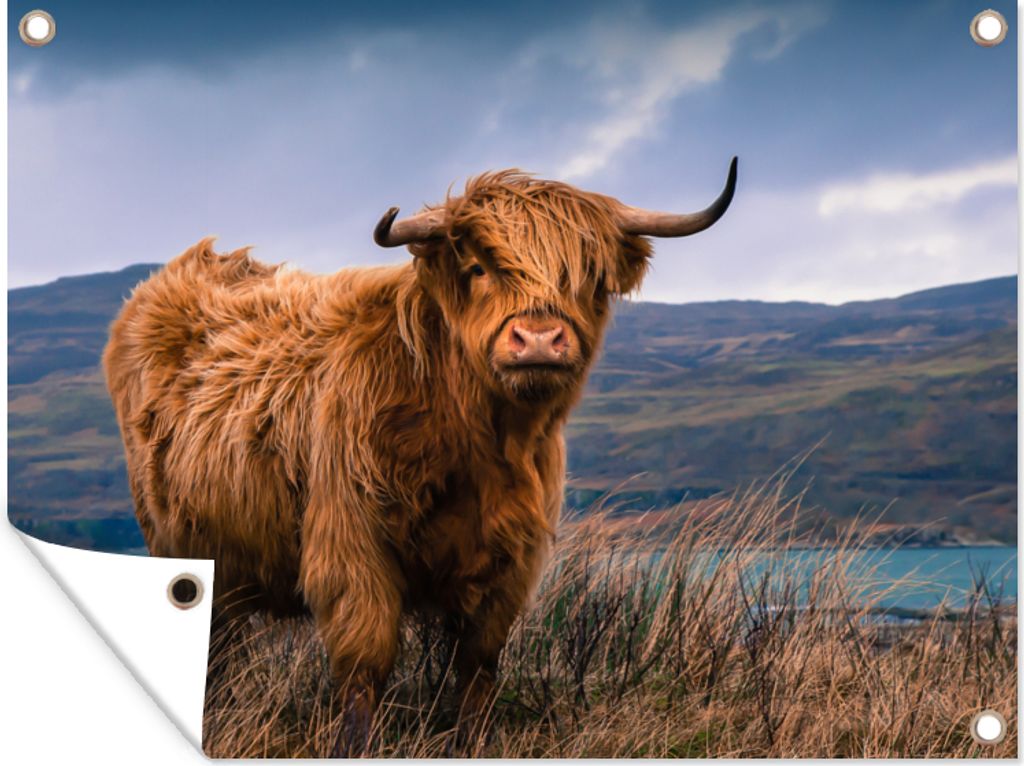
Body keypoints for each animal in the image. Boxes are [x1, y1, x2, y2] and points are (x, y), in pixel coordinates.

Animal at [102, 159, 737, 753]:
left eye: (587, 277)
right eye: (479, 268)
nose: (537, 340)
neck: (477, 442)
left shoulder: (511, 560)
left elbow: (478, 664)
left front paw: (470, 742)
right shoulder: (352, 546)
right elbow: (365, 662)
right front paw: (355, 747)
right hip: (176, 542)